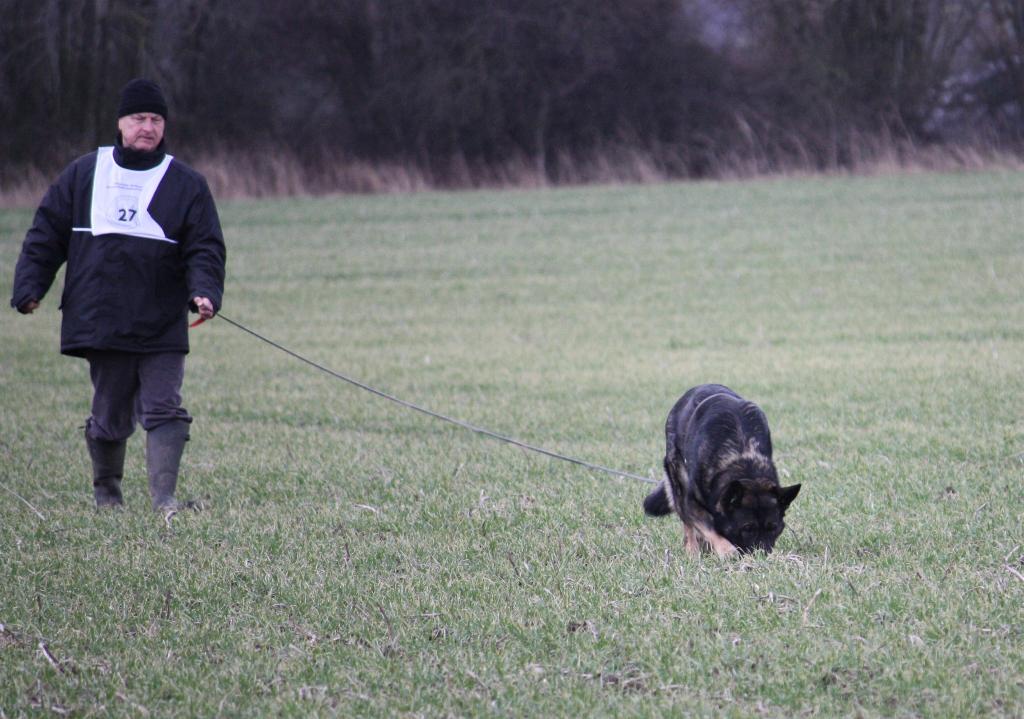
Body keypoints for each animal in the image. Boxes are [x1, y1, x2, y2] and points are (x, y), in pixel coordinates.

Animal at [638, 383, 798, 557]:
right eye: (747, 528)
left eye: (773, 527)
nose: (762, 555)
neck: (742, 458)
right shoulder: (691, 502)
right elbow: (708, 527)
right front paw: (727, 550)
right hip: (677, 478)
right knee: (687, 523)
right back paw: (692, 550)